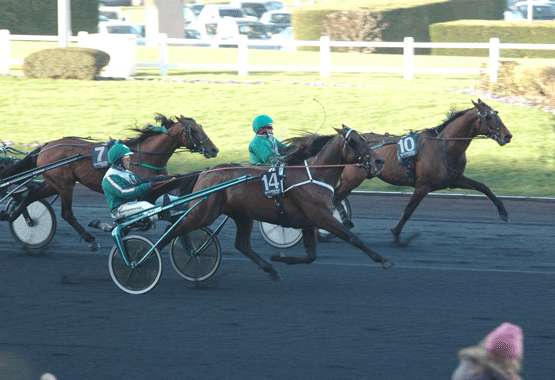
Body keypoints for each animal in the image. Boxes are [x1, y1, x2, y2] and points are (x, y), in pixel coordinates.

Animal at [2, 113, 219, 251]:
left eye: (201, 127)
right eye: (194, 130)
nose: (214, 150)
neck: (144, 156)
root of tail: (46, 146)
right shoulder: (137, 191)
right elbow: (134, 220)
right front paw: (109, 228)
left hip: (54, 182)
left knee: (32, 194)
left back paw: (16, 216)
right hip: (64, 185)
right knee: (66, 213)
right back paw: (90, 239)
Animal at [155, 126, 390, 280]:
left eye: (365, 139)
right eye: (355, 142)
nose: (379, 161)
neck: (314, 174)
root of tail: (206, 171)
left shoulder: (308, 222)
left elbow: (311, 256)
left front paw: (281, 256)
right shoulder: (321, 217)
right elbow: (353, 238)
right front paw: (383, 259)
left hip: (242, 215)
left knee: (241, 244)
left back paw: (270, 268)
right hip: (203, 212)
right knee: (171, 230)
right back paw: (152, 257)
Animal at [332, 98, 516, 243]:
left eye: (497, 113)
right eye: (489, 116)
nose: (507, 136)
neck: (444, 147)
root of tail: (344, 140)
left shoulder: (455, 179)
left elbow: (483, 187)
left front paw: (503, 212)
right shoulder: (423, 186)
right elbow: (408, 210)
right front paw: (396, 234)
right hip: (352, 179)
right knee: (335, 197)